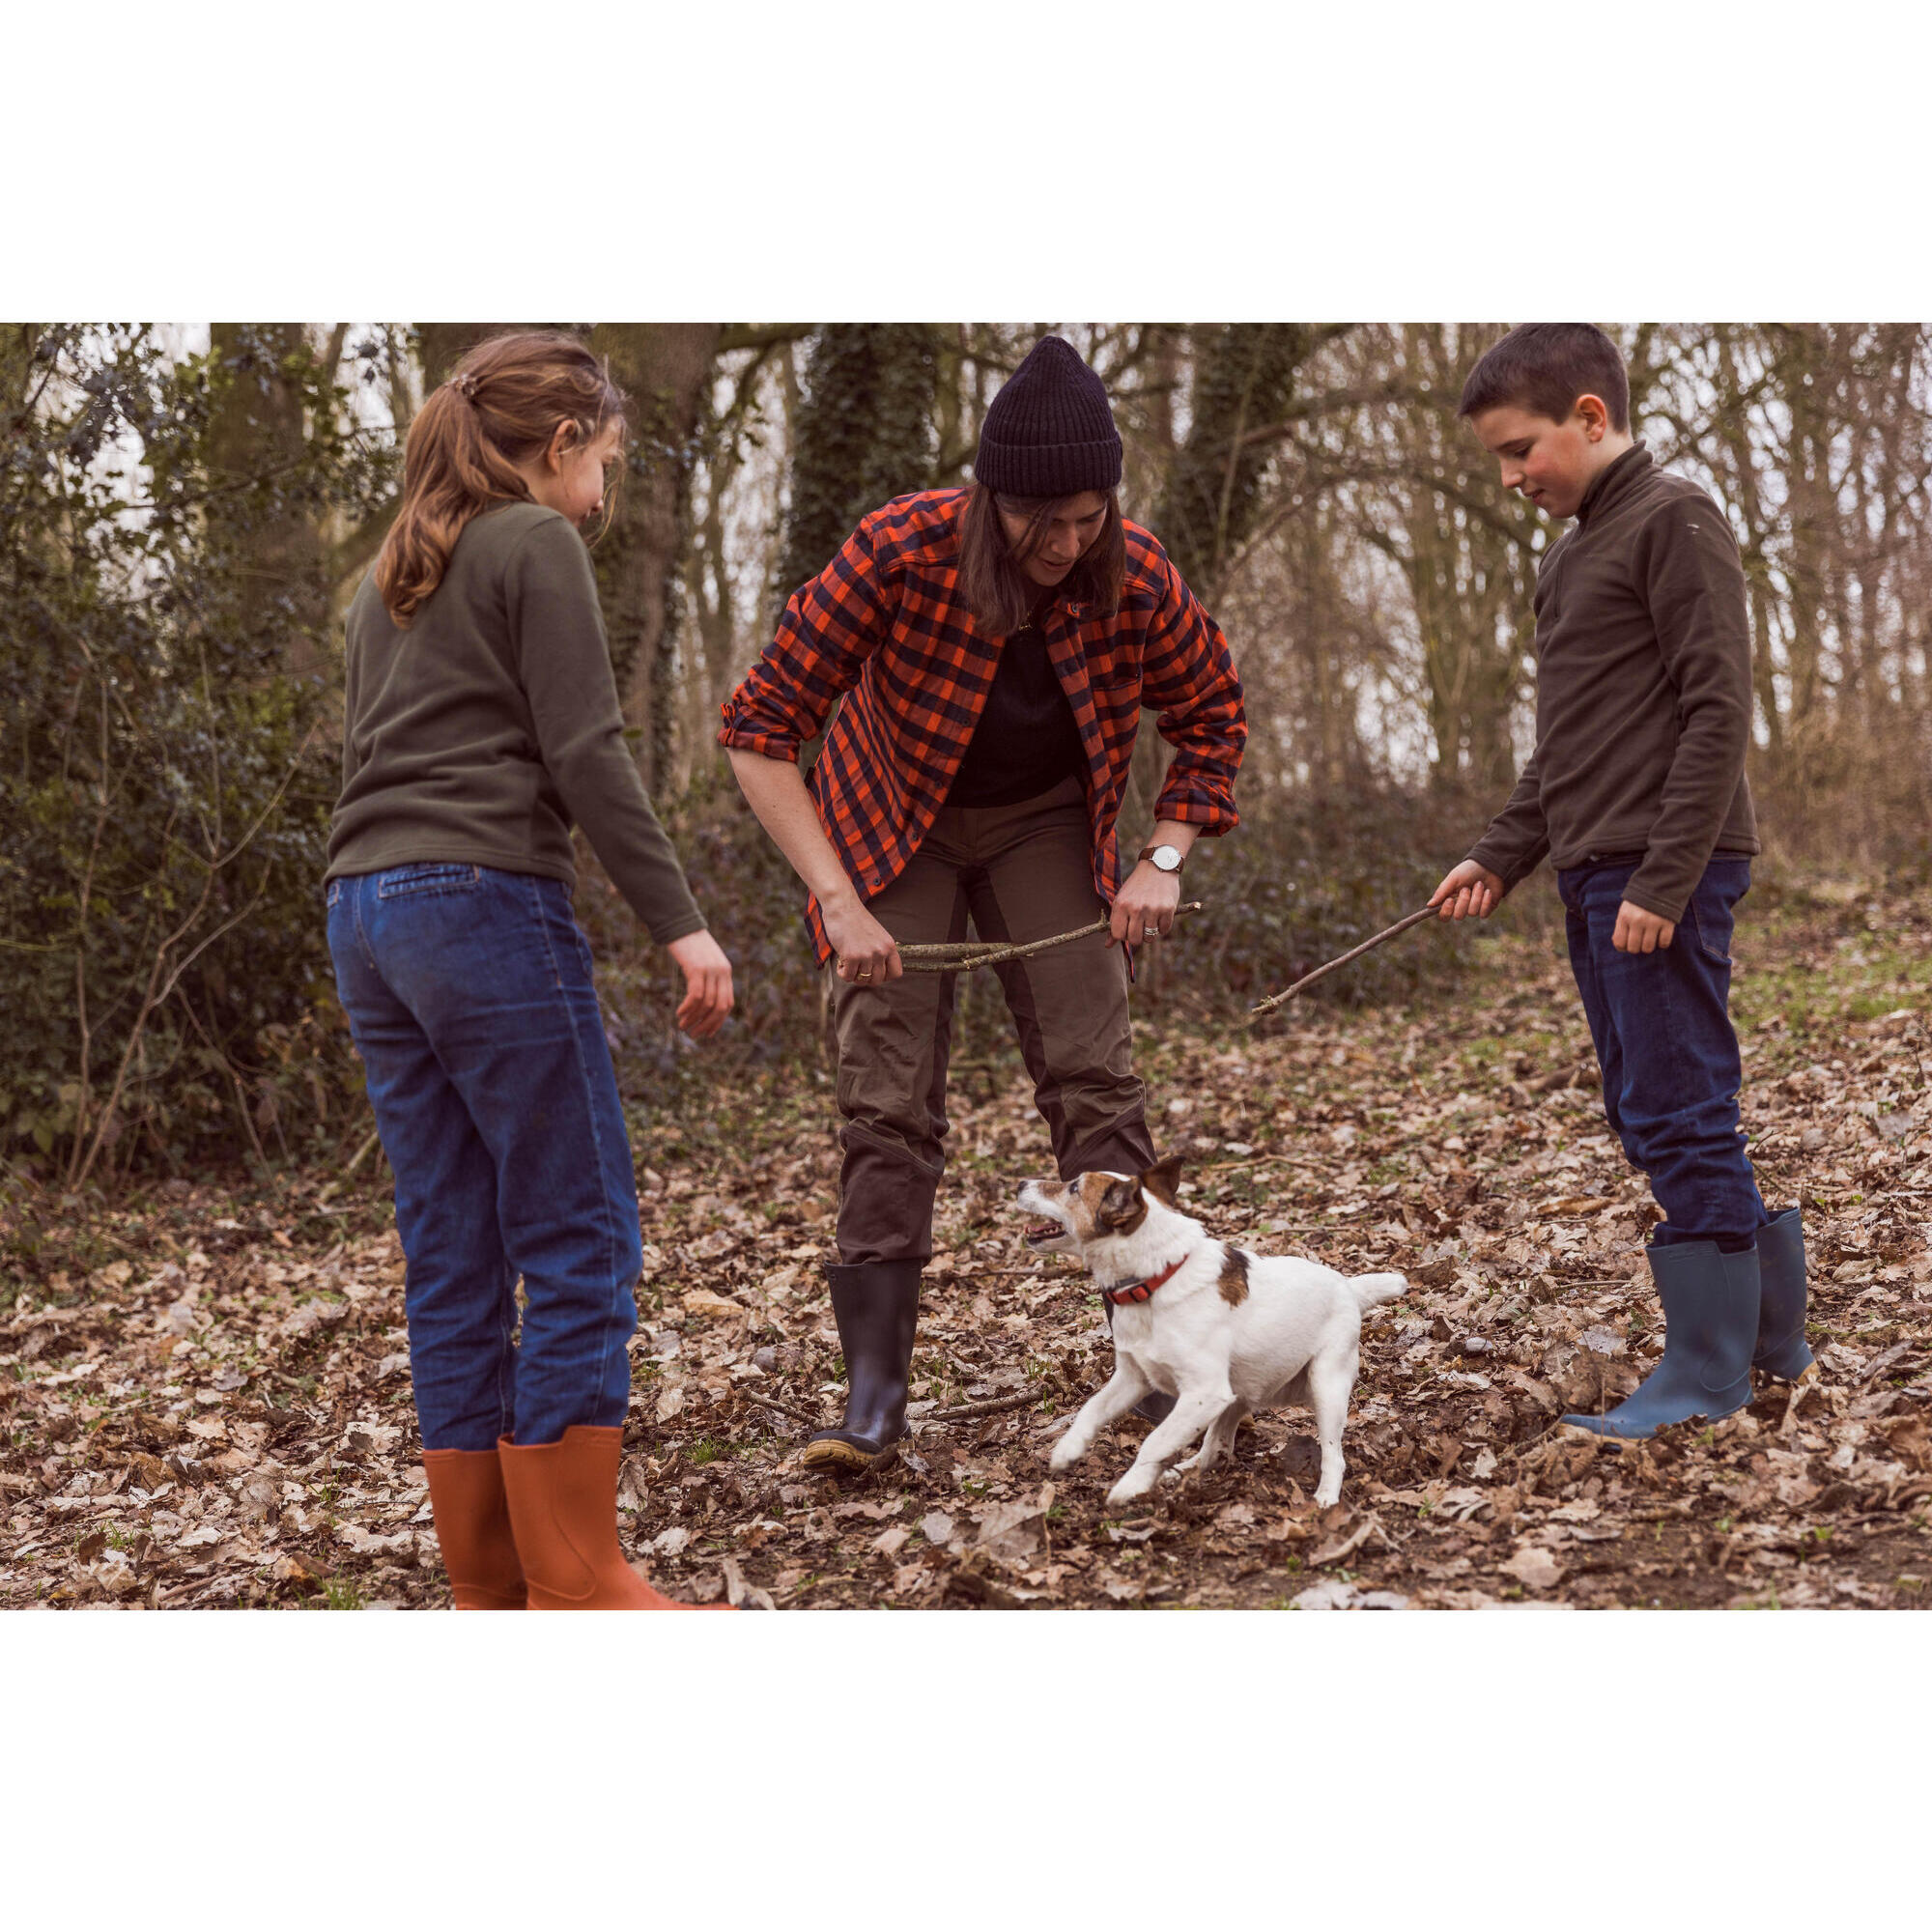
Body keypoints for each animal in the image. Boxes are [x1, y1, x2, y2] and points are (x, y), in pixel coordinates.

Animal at [1028, 1151, 1406, 1515]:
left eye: (1073, 1187)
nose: (1021, 1184)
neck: (1156, 1280)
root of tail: (1350, 1288)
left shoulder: (1203, 1393)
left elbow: (1155, 1441)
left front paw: (1130, 1486)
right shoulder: (1134, 1379)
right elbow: (1092, 1409)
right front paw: (1067, 1451)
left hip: (1325, 1385)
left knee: (1333, 1455)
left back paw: (1327, 1496)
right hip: (1238, 1391)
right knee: (1215, 1448)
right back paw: (1180, 1472)